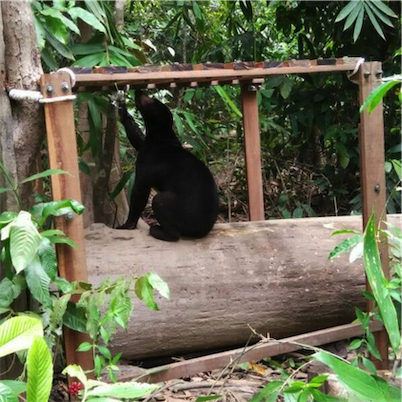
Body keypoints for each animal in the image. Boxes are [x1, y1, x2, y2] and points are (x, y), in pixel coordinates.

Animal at [118, 91, 218, 242]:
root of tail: (203, 231)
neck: (160, 136)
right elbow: (137, 138)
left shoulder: (145, 167)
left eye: (151, 99)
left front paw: (126, 225)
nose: (139, 91)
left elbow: (139, 195)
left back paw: (156, 230)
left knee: (173, 229)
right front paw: (121, 110)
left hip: (168, 204)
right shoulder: (144, 145)